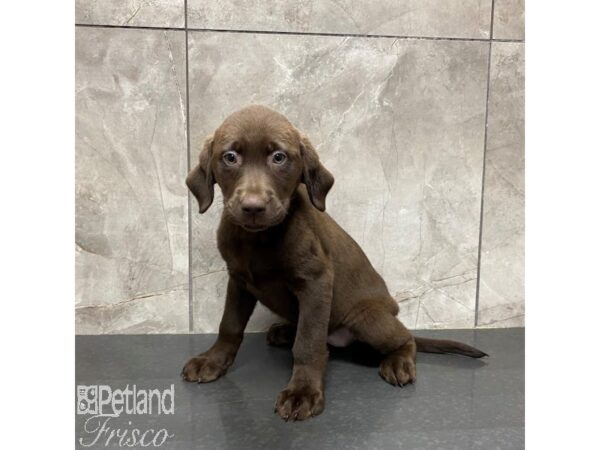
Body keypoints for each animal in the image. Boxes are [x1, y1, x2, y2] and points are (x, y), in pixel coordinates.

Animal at [183, 103, 488, 420]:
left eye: (279, 157)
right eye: (230, 157)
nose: (253, 207)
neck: (259, 239)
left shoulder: (316, 282)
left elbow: (308, 343)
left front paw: (302, 392)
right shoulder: (239, 280)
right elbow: (229, 325)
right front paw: (212, 361)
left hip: (367, 318)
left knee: (405, 338)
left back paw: (398, 362)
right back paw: (285, 332)